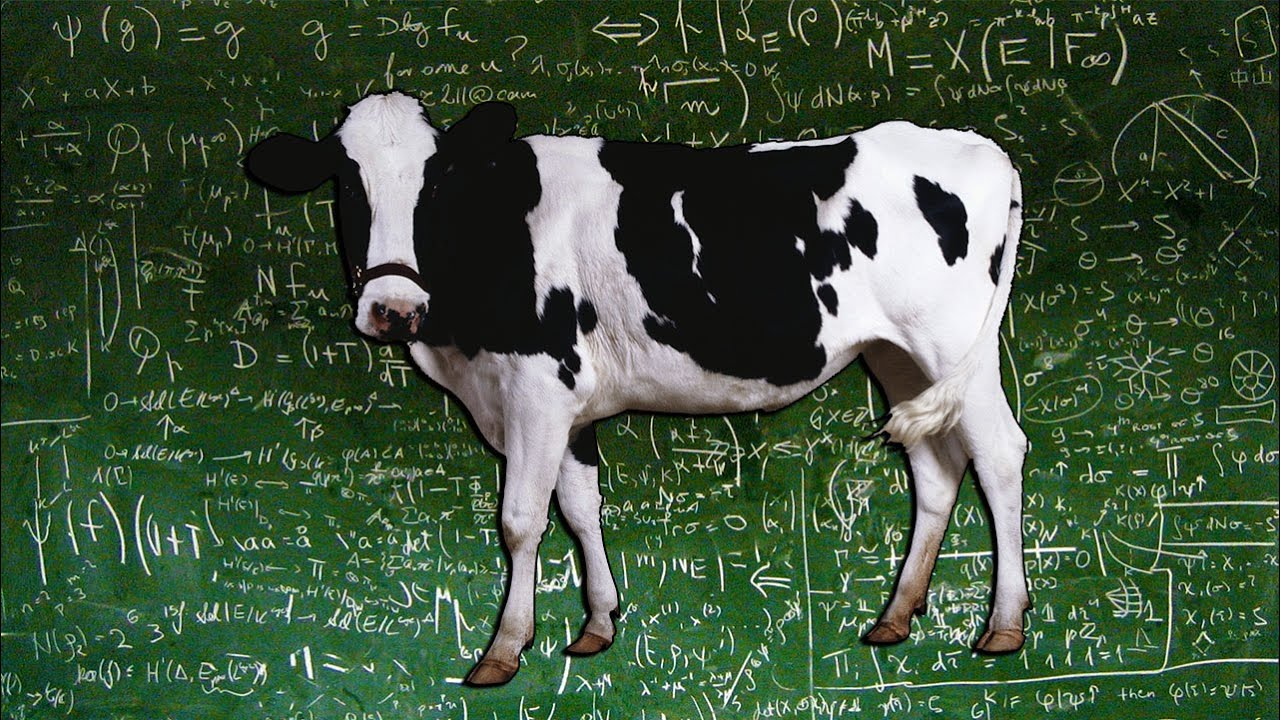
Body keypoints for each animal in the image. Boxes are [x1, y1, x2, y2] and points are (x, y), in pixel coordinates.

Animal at [245, 91, 1029, 686]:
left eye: (436, 182)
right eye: (346, 182)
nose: (393, 308)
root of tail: (975, 145)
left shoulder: (536, 390)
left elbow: (520, 519)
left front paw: (503, 650)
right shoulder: (566, 407)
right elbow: (579, 507)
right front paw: (596, 624)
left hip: (951, 343)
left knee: (999, 454)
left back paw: (1004, 626)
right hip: (897, 356)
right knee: (935, 466)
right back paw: (895, 617)